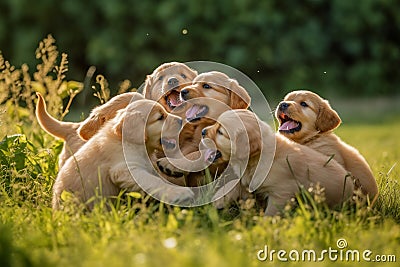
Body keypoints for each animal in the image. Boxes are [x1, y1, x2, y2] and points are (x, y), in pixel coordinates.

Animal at [202, 110, 354, 217]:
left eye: (220, 132)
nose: (203, 131)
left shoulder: (282, 192)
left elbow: (271, 212)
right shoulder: (247, 179)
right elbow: (235, 184)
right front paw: (219, 200)